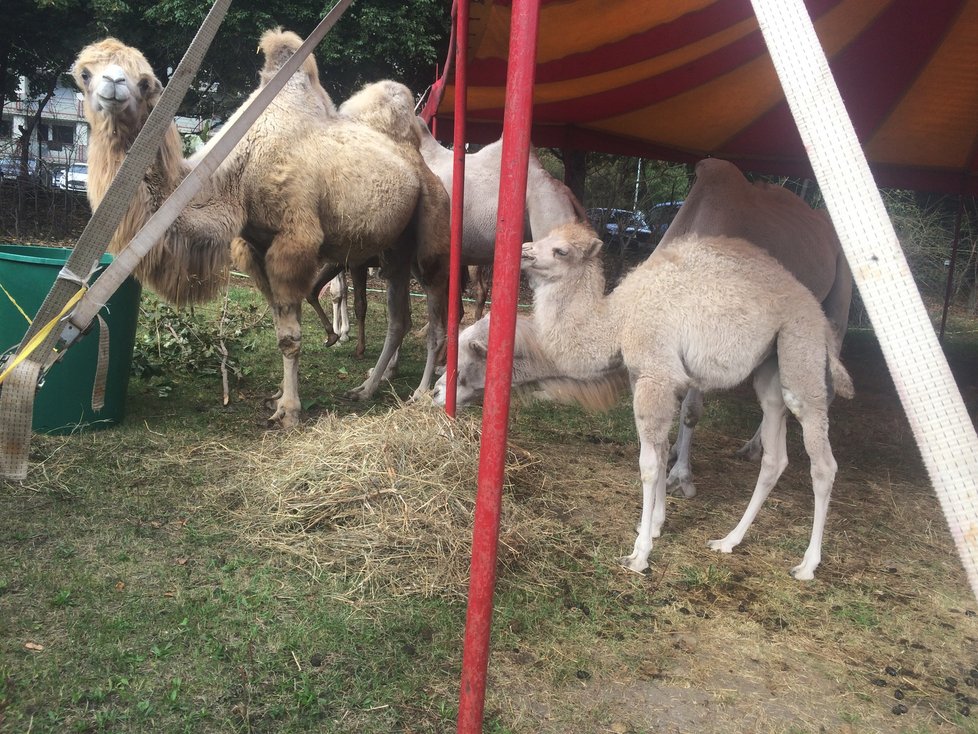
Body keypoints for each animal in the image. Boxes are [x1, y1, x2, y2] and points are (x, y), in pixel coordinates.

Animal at [74, 31, 452, 428]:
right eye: (84, 74)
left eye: (145, 82)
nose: (113, 85)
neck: (238, 173)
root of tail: (417, 161)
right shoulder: (254, 247)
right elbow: (280, 328)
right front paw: (279, 397)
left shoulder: (293, 242)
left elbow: (290, 337)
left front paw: (289, 412)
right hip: (394, 249)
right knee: (398, 319)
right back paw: (365, 389)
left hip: (431, 235)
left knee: (434, 319)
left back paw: (421, 392)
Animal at [516, 224, 852, 580]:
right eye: (544, 237)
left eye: (561, 251)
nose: (525, 250)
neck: (618, 320)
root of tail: (817, 315)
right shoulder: (645, 376)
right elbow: (662, 451)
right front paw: (654, 526)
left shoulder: (656, 375)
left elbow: (649, 465)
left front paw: (640, 554)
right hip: (771, 368)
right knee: (774, 454)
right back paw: (728, 541)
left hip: (801, 348)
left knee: (822, 459)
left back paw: (807, 565)